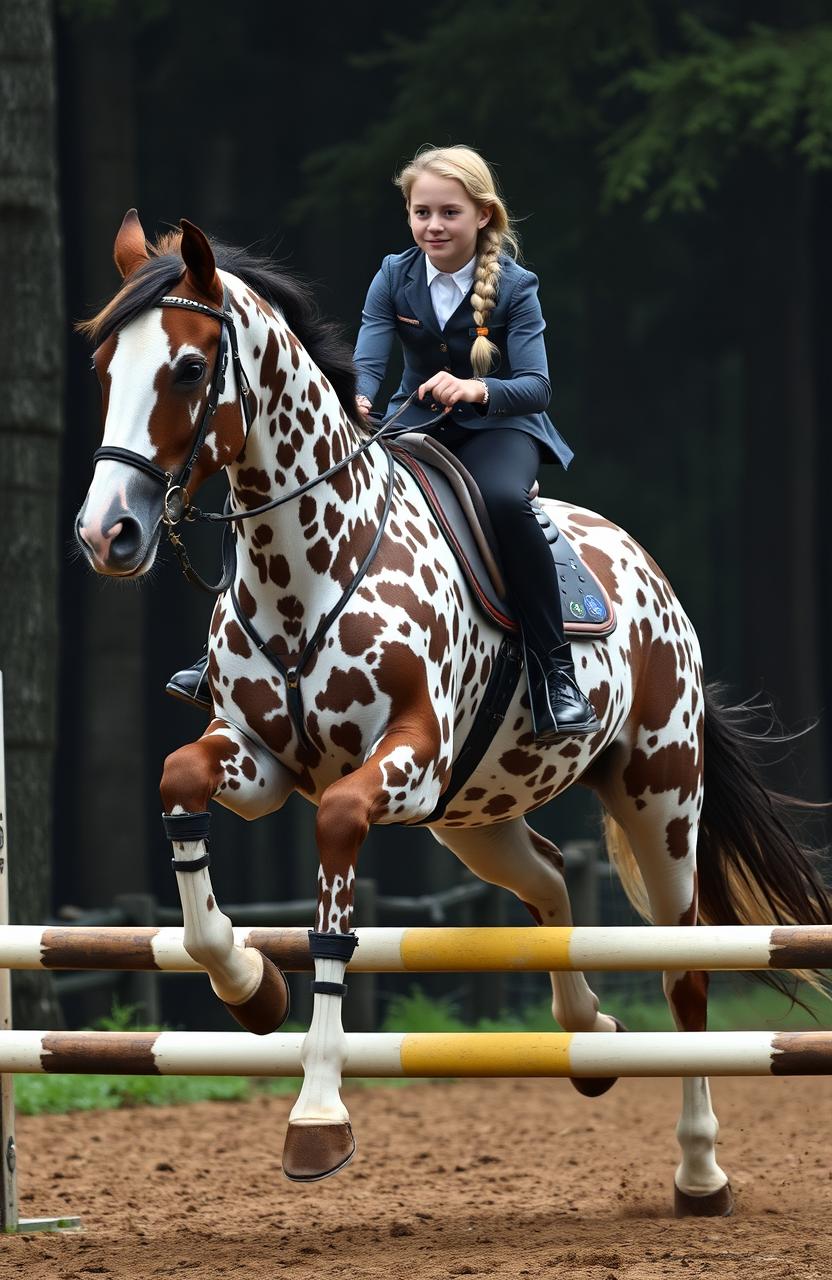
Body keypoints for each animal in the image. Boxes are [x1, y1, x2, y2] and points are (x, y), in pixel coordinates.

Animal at [75, 210, 830, 1211]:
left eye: (191, 369)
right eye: (104, 366)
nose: (106, 534)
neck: (306, 565)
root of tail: (650, 572)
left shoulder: (405, 764)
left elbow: (335, 892)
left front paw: (318, 1116)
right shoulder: (263, 762)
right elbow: (180, 784)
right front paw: (249, 986)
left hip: (659, 800)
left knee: (686, 966)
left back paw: (700, 1168)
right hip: (474, 817)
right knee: (550, 878)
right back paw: (589, 1038)